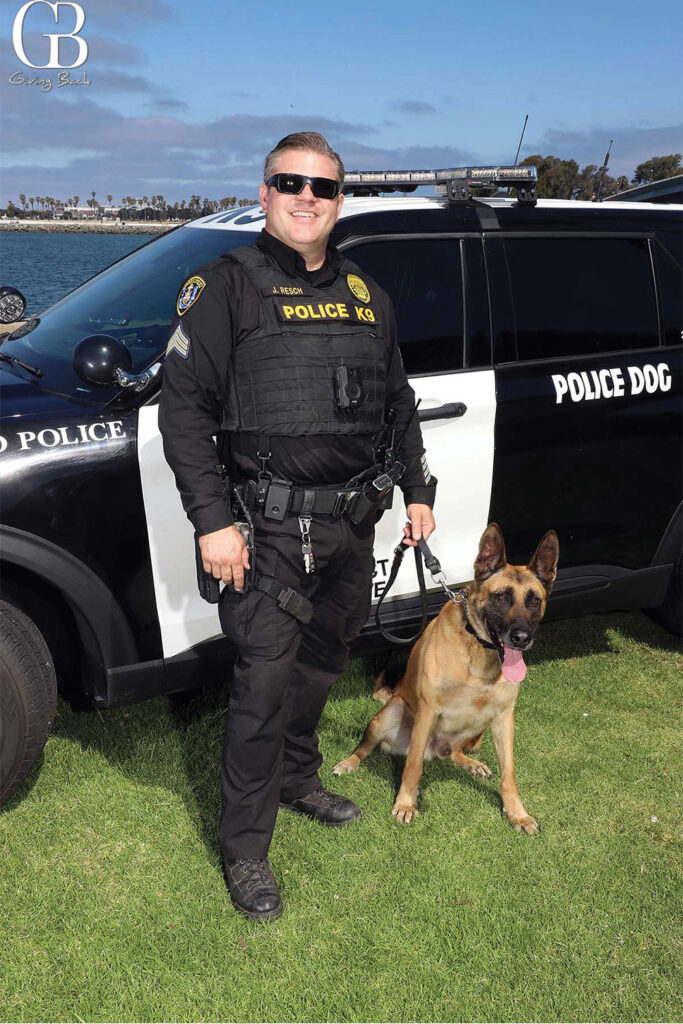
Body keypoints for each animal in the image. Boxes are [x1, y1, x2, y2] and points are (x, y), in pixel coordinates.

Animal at [331, 524, 561, 835]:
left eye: (534, 601)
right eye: (501, 597)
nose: (522, 638)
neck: (479, 650)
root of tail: (435, 749)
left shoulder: (504, 717)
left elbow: (509, 773)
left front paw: (517, 813)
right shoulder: (428, 710)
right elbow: (413, 764)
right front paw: (406, 803)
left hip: (478, 727)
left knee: (453, 751)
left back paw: (468, 762)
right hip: (392, 712)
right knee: (367, 748)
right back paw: (349, 763)